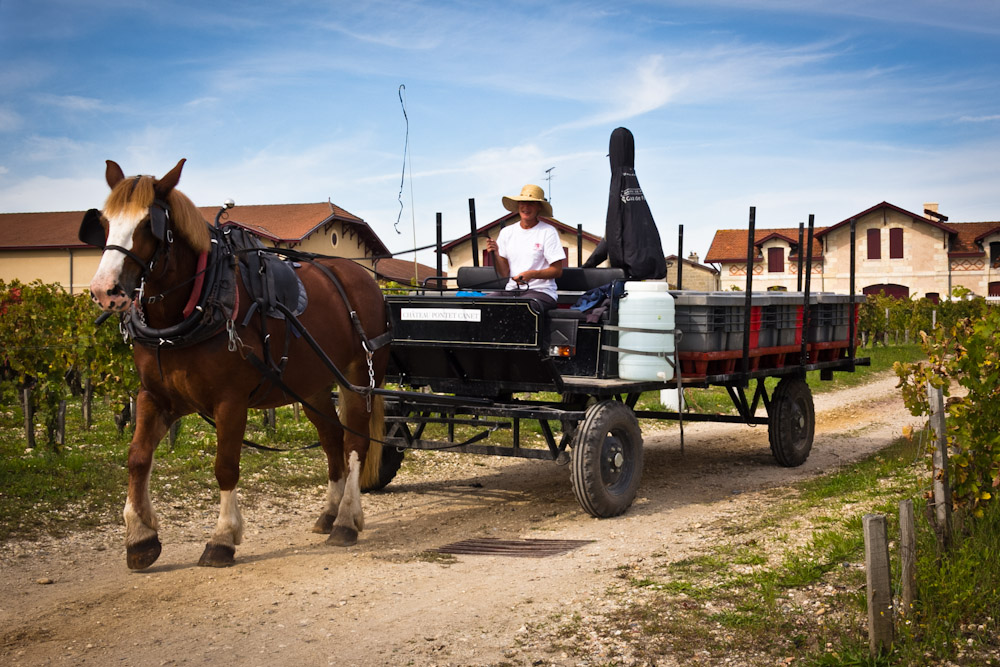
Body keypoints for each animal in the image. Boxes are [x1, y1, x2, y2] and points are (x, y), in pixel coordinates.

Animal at [81, 160, 390, 568]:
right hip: (312, 386)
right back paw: (329, 513)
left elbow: (225, 466)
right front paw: (140, 536)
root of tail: (362, 277)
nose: (105, 290)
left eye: (150, 223)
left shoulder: (230, 400)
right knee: (331, 440)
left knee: (355, 443)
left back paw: (346, 521)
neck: (197, 304)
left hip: (359, 378)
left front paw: (222, 538)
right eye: (104, 221)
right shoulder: (154, 396)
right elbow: (137, 458)